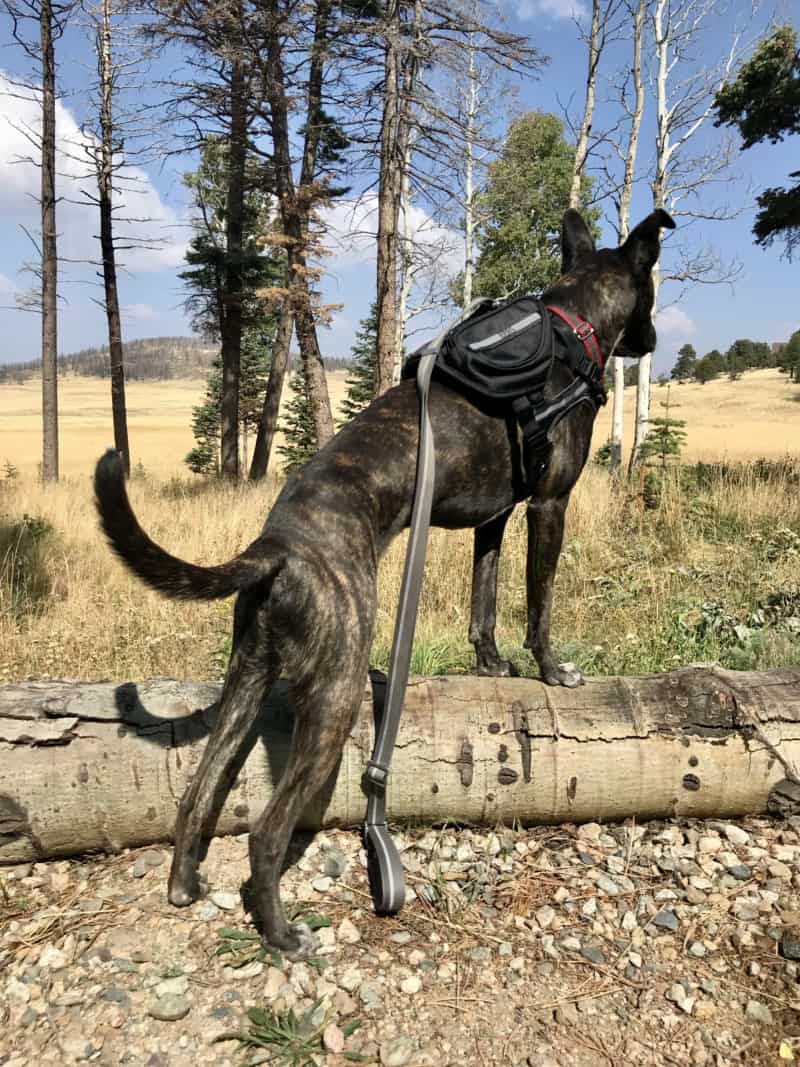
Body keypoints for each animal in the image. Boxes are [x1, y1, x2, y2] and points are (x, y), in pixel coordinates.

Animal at [98, 203, 678, 956]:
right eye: (653, 291)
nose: (657, 340)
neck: (568, 323)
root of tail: (277, 545)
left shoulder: (494, 519)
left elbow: (484, 601)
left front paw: (491, 662)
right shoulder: (548, 505)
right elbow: (540, 602)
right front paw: (551, 669)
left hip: (247, 677)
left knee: (197, 791)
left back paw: (182, 884)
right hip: (339, 687)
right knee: (266, 831)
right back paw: (282, 933)